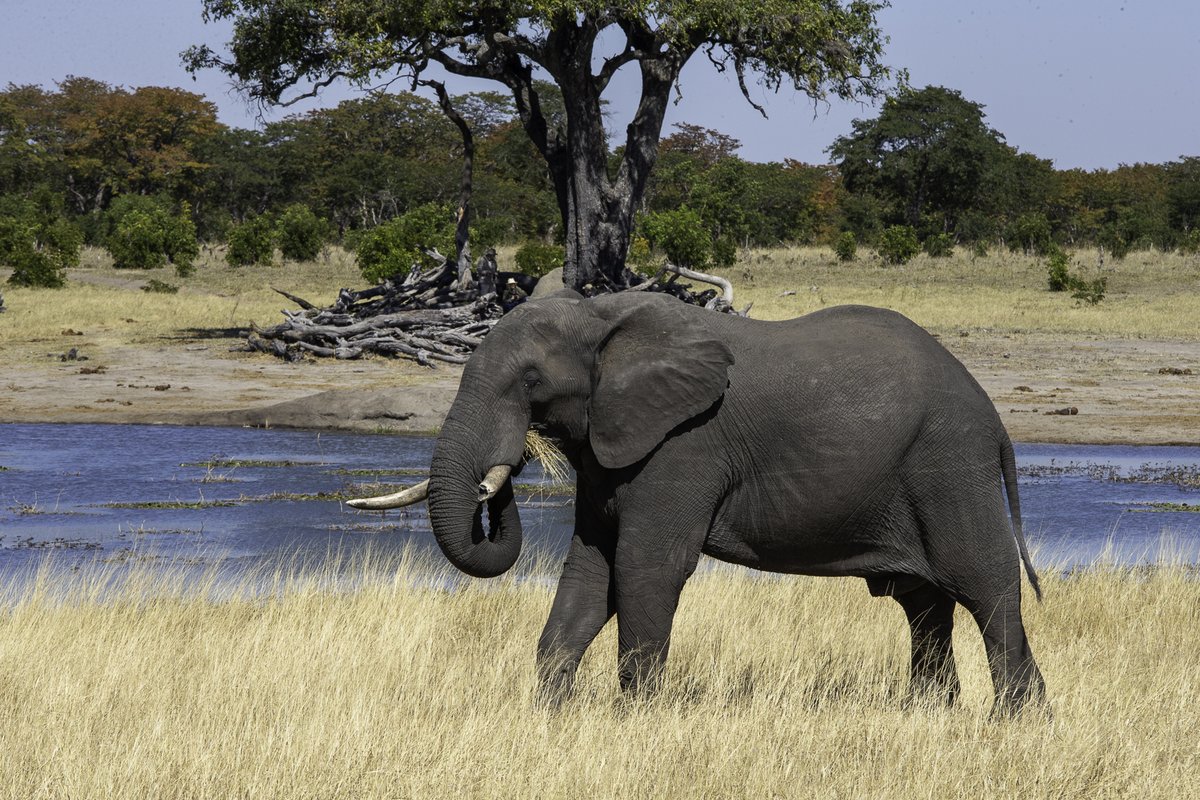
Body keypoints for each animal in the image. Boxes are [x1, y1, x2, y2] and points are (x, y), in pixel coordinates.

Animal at [349, 291, 1046, 714]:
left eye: (530, 383)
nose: (508, 470)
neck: (602, 318)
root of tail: (993, 416)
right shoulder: (612, 446)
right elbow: (590, 571)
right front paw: (549, 715)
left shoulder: (683, 444)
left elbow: (644, 570)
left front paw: (635, 720)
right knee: (924, 605)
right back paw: (938, 715)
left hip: (948, 464)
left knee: (985, 588)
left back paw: (1016, 724)